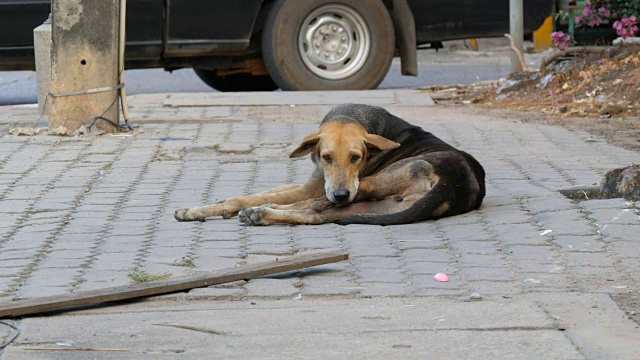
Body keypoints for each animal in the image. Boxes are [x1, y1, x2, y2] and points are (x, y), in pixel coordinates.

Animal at [175, 102, 484, 225]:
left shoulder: (313, 188)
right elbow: (264, 191)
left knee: (312, 206)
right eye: (327, 157)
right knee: (317, 214)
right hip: (370, 208)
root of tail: (453, 184)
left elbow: (245, 197)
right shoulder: (314, 182)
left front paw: (203, 209)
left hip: (370, 185)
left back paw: (262, 212)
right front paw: (206, 207)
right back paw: (263, 214)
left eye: (356, 158)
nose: (341, 194)